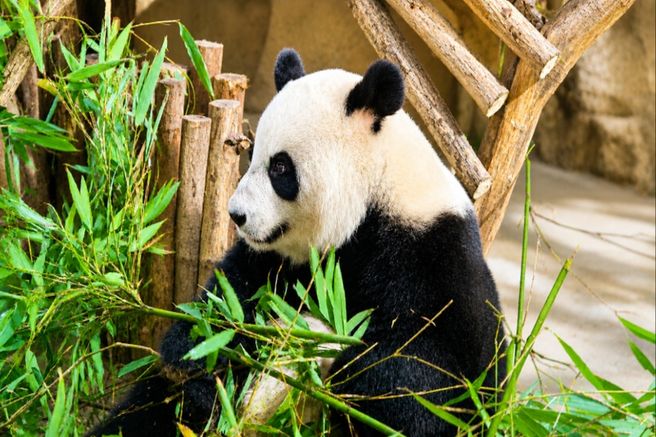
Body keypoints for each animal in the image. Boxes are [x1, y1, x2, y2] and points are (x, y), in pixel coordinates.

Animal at [90, 48, 505, 436]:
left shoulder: (431, 258)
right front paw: (203, 353)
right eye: (251, 152)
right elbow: (229, 302)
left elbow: (431, 379)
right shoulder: (276, 261)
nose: (236, 214)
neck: (376, 194)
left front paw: (347, 369)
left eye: (280, 167)